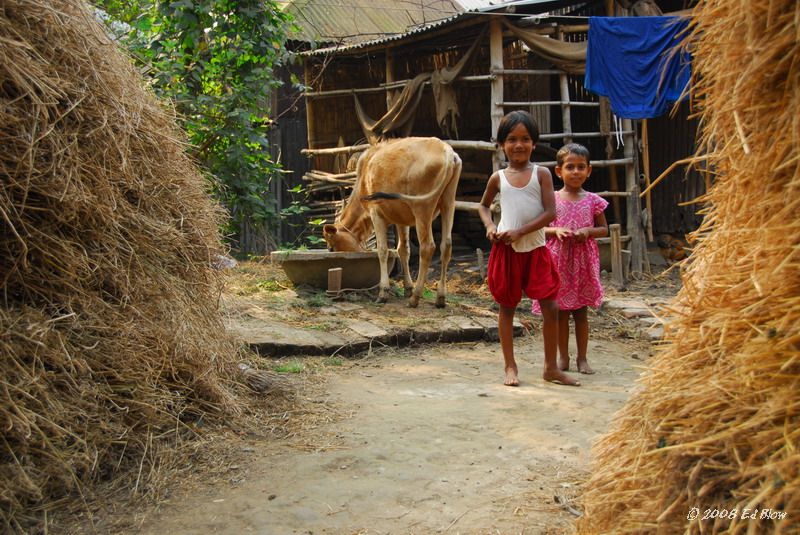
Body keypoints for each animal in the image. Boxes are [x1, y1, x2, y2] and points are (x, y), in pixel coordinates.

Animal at [322, 136, 462, 308]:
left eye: (332, 247)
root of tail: (447, 150)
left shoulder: (376, 213)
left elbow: (383, 250)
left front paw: (383, 292)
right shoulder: (402, 220)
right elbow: (403, 250)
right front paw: (407, 287)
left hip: (422, 208)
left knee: (427, 247)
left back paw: (415, 297)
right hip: (449, 203)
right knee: (446, 246)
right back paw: (440, 298)